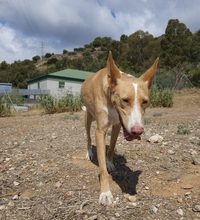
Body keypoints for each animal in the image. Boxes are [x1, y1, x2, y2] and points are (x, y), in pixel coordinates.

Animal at [80, 51, 159, 206]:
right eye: (125, 100)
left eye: (145, 102)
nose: (137, 132)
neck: (110, 99)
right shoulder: (100, 131)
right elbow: (102, 169)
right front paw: (105, 193)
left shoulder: (117, 126)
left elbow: (110, 149)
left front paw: (110, 162)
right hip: (88, 117)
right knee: (88, 137)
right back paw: (89, 152)